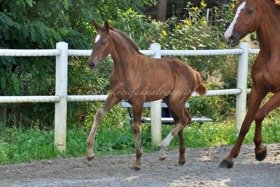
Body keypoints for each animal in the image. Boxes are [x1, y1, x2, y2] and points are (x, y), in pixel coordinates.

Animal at [86, 20, 207, 169]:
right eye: (94, 41)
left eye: (104, 41)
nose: (91, 63)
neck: (127, 68)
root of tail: (194, 72)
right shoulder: (115, 95)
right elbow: (99, 113)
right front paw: (90, 155)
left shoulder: (138, 101)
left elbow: (136, 127)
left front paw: (138, 161)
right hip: (171, 102)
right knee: (181, 121)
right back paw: (181, 158)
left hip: (176, 101)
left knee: (184, 120)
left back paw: (163, 151)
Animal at [221, 0, 280, 169]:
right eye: (235, 10)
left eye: (250, 11)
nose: (228, 37)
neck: (273, 54)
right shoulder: (258, 89)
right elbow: (245, 123)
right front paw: (229, 157)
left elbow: (259, 115)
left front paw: (260, 150)